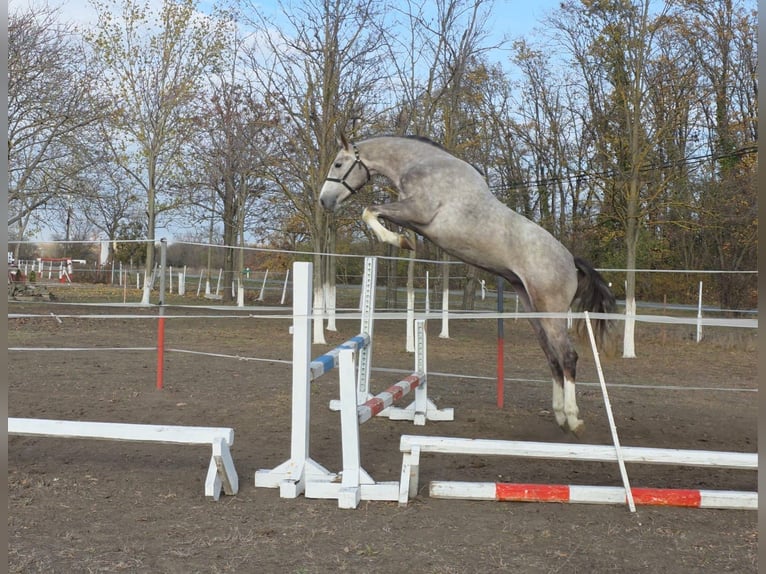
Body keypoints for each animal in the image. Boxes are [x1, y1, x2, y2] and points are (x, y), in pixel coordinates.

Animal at [319, 134, 615, 436]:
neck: (421, 164)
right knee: (553, 358)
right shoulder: (412, 217)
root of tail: (570, 260)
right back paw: (559, 416)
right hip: (533, 309)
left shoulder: (419, 211)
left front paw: (399, 241)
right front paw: (402, 241)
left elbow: (370, 210)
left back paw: (573, 419)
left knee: (567, 357)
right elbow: (375, 213)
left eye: (338, 164)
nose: (324, 201)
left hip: (550, 309)